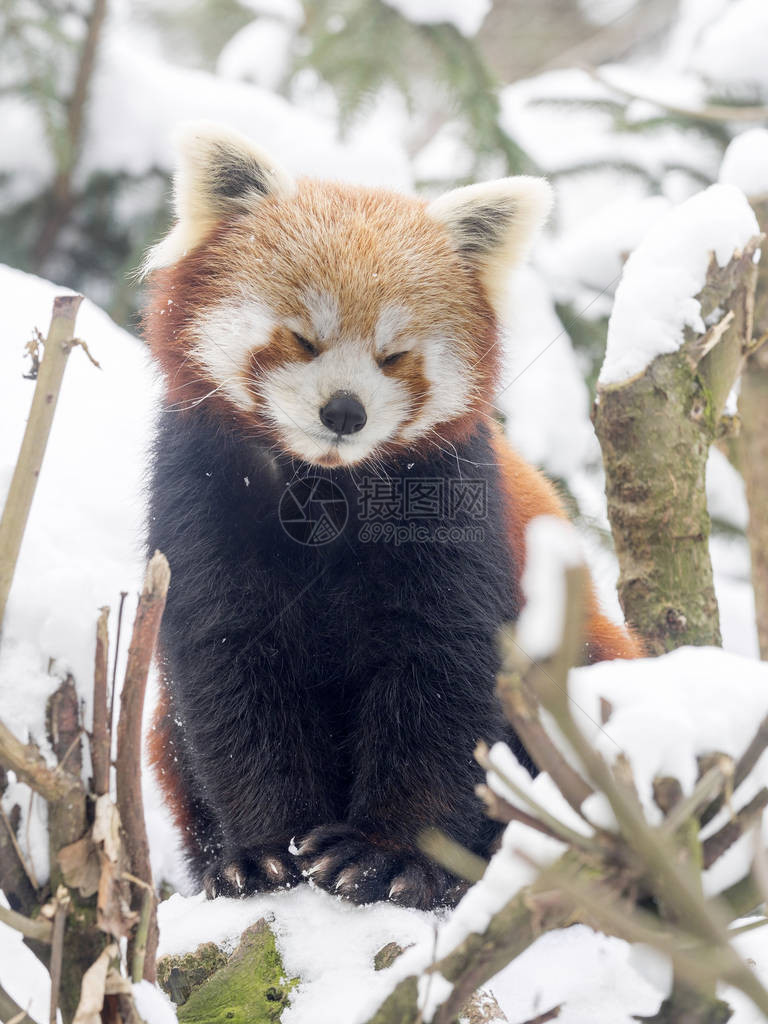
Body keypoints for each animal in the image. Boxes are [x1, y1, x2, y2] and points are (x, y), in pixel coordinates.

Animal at [144, 121, 643, 913]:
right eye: (303, 338)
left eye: (394, 354)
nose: (344, 411)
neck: (326, 485)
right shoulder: (200, 495)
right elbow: (229, 673)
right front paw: (264, 855)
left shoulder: (454, 508)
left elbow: (442, 679)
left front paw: (389, 859)